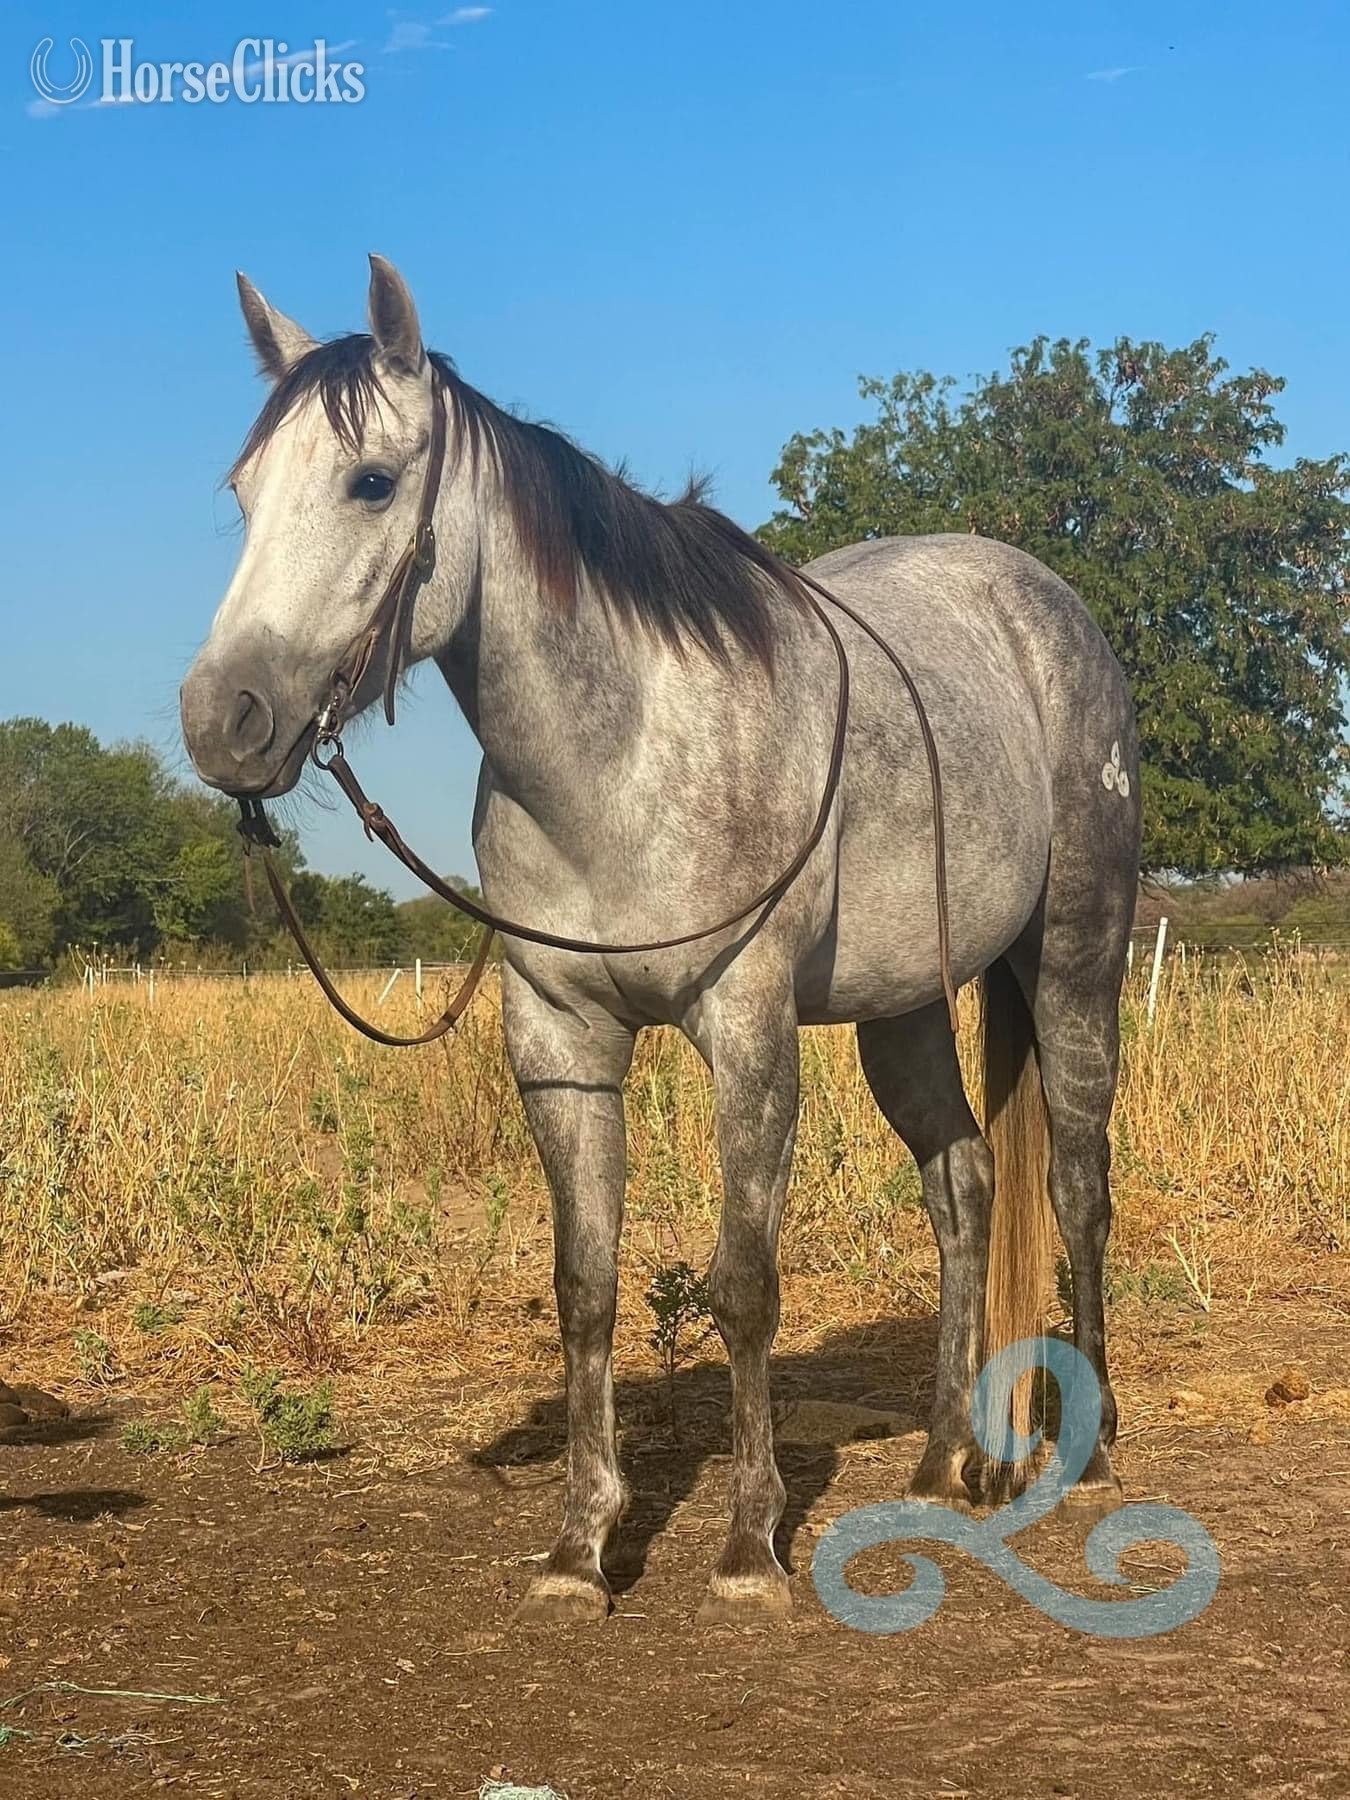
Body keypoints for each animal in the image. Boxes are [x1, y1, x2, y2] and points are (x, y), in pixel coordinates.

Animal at [181, 255, 1141, 1626]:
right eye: (244, 491)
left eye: (370, 482)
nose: (224, 721)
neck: (620, 754)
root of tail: (1045, 606)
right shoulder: (562, 1042)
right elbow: (585, 1288)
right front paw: (581, 1546)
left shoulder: (745, 1033)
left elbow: (744, 1287)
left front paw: (748, 1545)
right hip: (900, 1008)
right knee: (962, 1187)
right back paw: (943, 1460)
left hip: (1072, 966)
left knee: (1075, 1186)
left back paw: (1092, 1455)